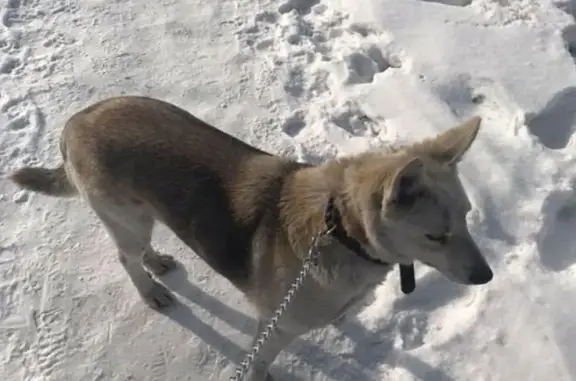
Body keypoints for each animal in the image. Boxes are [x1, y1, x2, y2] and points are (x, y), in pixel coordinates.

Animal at [9, 95, 492, 380]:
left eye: (468, 217)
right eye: (436, 236)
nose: (487, 277)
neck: (339, 230)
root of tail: (76, 120)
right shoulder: (275, 327)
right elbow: (260, 361)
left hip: (143, 216)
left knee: (141, 250)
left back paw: (157, 261)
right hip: (127, 220)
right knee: (125, 258)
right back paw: (150, 290)